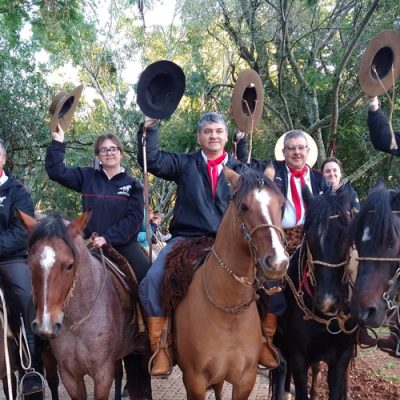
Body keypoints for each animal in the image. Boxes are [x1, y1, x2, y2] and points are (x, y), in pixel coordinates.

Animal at [18, 211, 152, 398]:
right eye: (30, 265)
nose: (46, 325)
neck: (77, 324)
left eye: (69, 265)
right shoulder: (69, 375)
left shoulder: (102, 373)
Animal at [173, 168, 290, 400]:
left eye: (281, 205)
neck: (229, 311)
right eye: (244, 206)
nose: (278, 262)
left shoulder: (246, 380)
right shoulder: (194, 382)